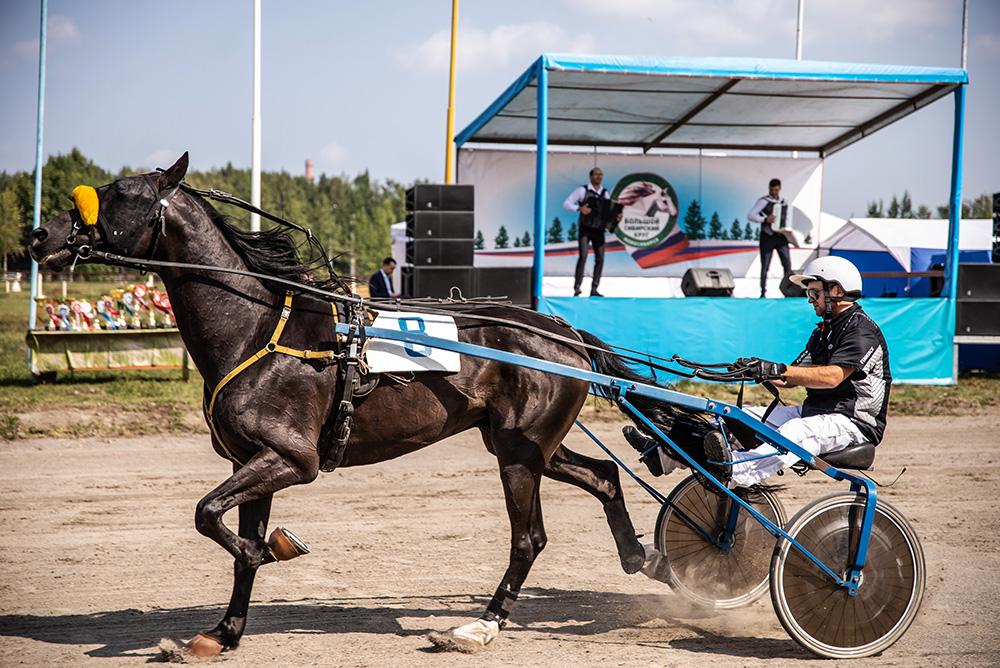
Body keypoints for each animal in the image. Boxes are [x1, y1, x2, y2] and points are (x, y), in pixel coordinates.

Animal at [27, 154, 708, 656]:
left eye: (117, 193)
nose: (41, 234)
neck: (256, 328)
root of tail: (563, 331)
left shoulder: (290, 459)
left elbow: (210, 517)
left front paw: (271, 549)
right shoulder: (250, 461)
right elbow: (229, 529)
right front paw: (223, 632)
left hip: (519, 453)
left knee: (529, 538)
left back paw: (482, 624)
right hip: (524, 442)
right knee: (604, 474)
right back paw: (643, 557)